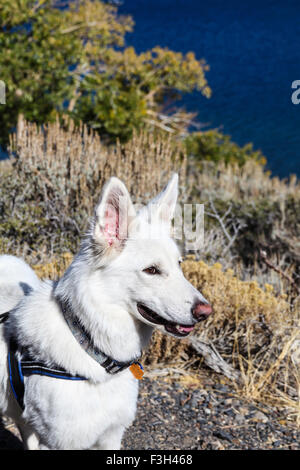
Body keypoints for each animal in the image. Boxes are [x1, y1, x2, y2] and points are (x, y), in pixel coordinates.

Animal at [0, 174, 211, 450]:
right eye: (151, 270)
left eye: (179, 265)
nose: (206, 311)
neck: (89, 343)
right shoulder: (59, 443)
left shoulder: (111, 435)